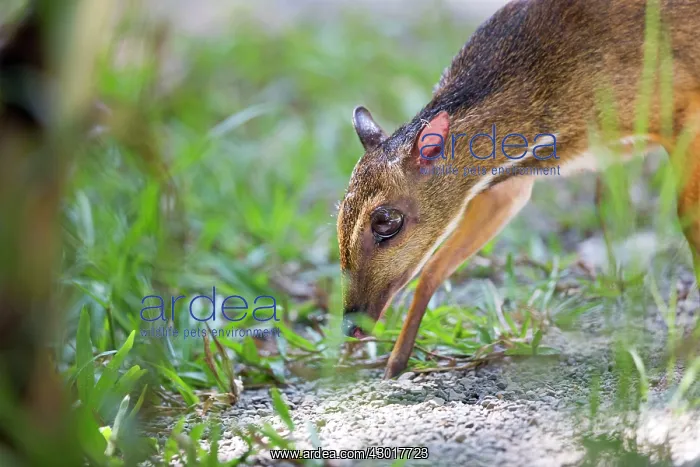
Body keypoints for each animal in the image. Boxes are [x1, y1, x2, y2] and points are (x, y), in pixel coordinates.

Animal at [336, 0, 700, 379]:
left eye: (386, 222)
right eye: (339, 217)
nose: (350, 324)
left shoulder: (681, 113)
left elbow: (689, 218)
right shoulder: (507, 186)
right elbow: (435, 269)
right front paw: (395, 365)